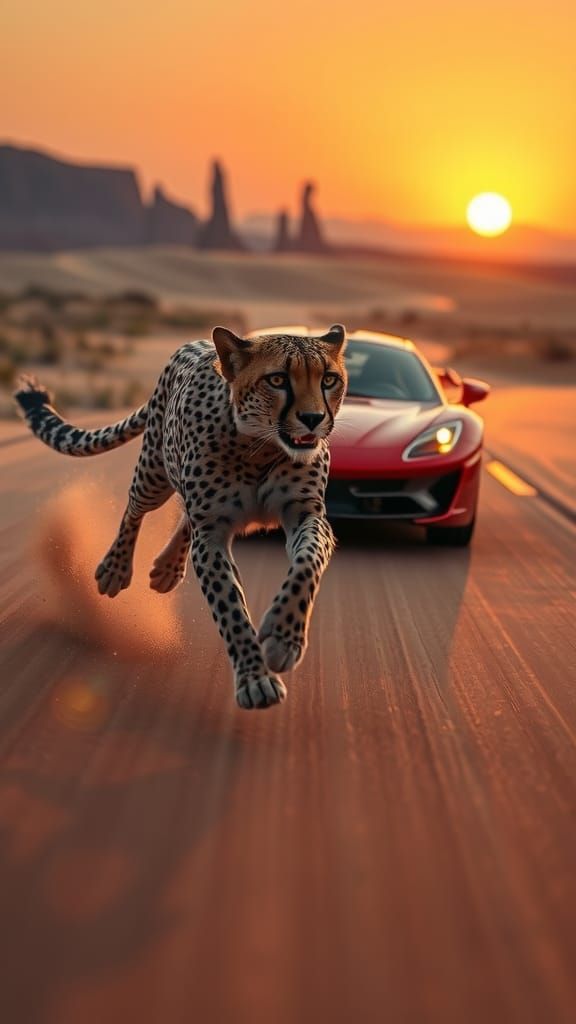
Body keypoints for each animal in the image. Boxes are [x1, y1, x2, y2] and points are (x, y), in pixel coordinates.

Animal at [14, 325, 348, 710]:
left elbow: (307, 564)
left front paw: (283, 637)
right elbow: (231, 610)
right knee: (135, 508)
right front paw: (255, 679)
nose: (313, 419)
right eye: (277, 379)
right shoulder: (212, 534)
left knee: (185, 518)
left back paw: (167, 569)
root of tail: (195, 343)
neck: (261, 447)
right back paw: (115, 568)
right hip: (154, 474)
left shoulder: (306, 512)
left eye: (328, 379)